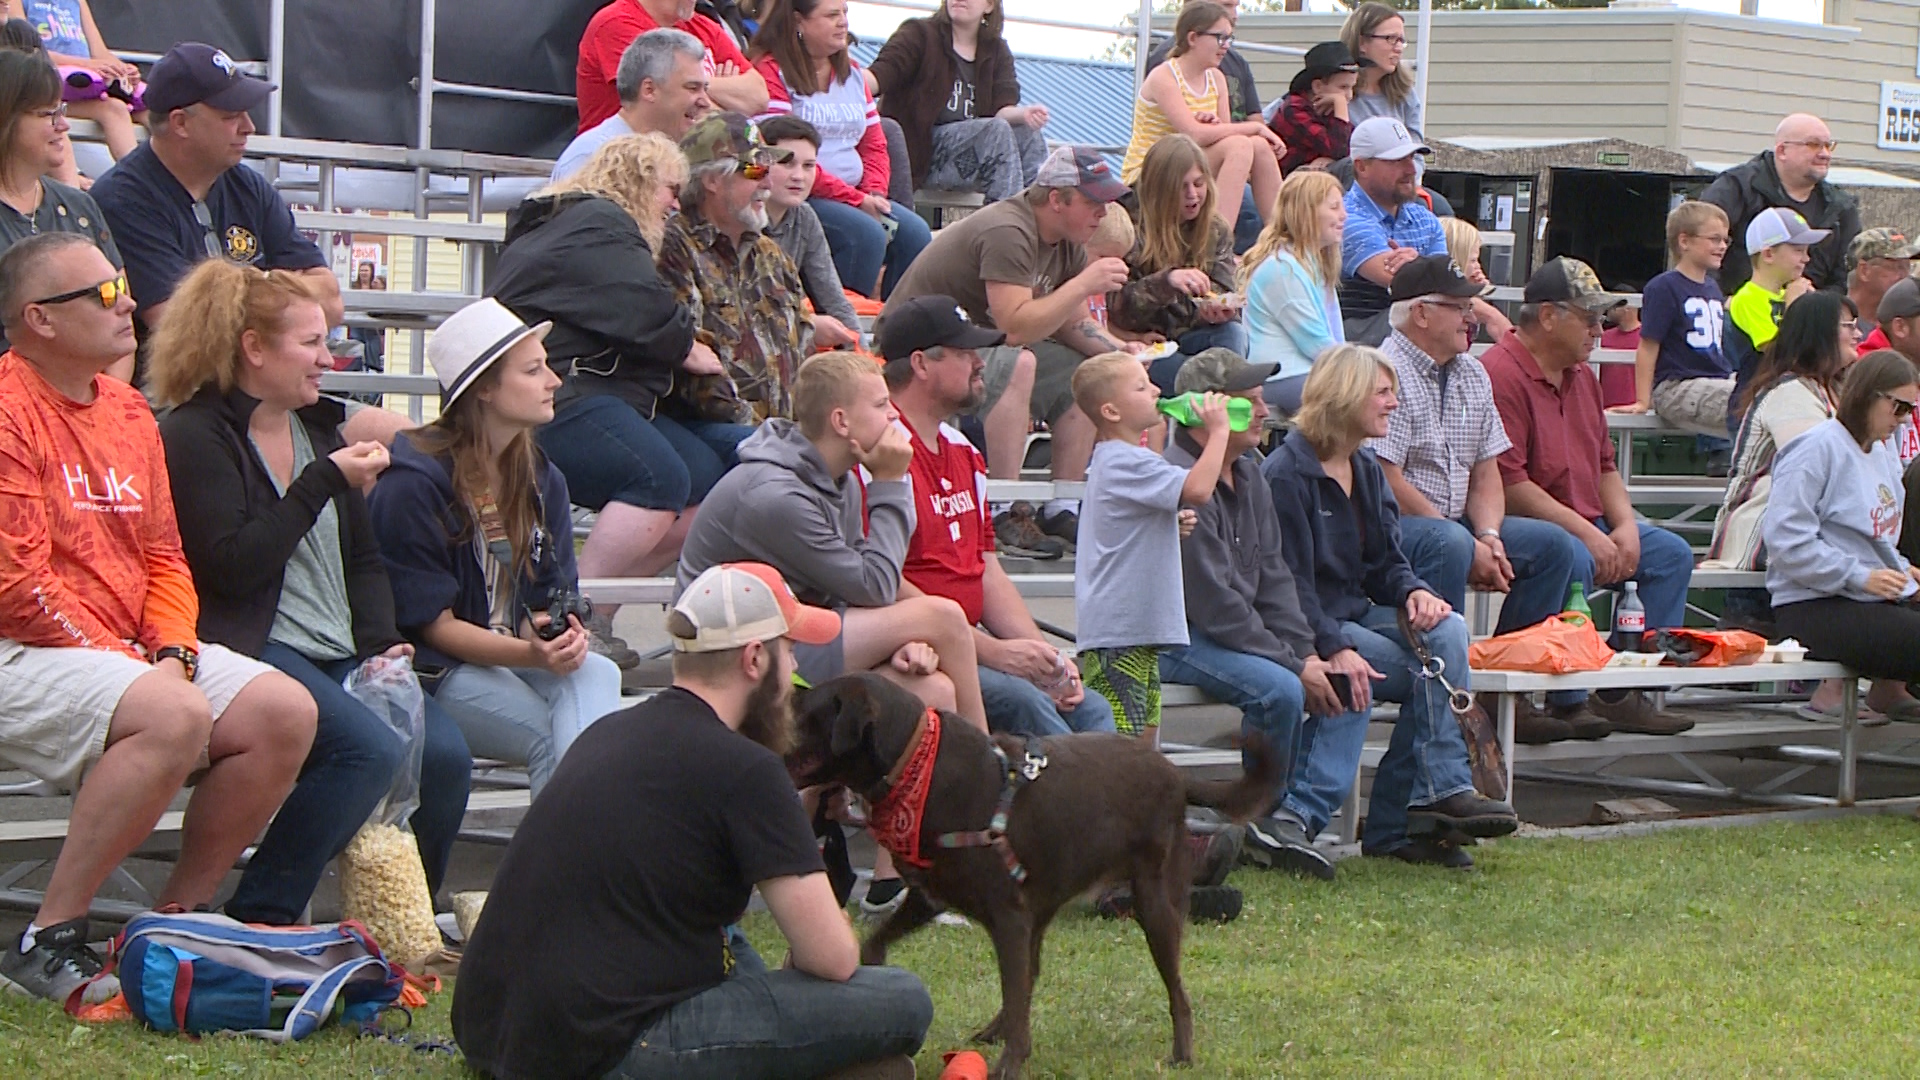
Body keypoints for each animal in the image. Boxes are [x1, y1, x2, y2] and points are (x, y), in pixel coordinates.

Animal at [787, 668, 1282, 1068]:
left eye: (800, 712)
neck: (917, 765)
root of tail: (1176, 774)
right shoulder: (930, 897)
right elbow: (876, 943)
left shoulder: (1007, 916)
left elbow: (1016, 994)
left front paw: (1010, 1064)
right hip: (1048, 900)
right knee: (1032, 974)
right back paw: (994, 1029)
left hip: (1154, 902)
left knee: (1176, 990)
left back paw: (1182, 1055)